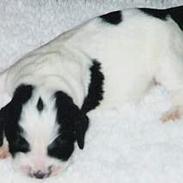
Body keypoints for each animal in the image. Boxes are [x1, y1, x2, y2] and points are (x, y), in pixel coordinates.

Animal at [0, 6, 182, 179]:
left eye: (62, 141)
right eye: (19, 141)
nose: (40, 174)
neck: (44, 77)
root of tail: (166, 14)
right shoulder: (9, 76)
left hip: (167, 61)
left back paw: (174, 112)